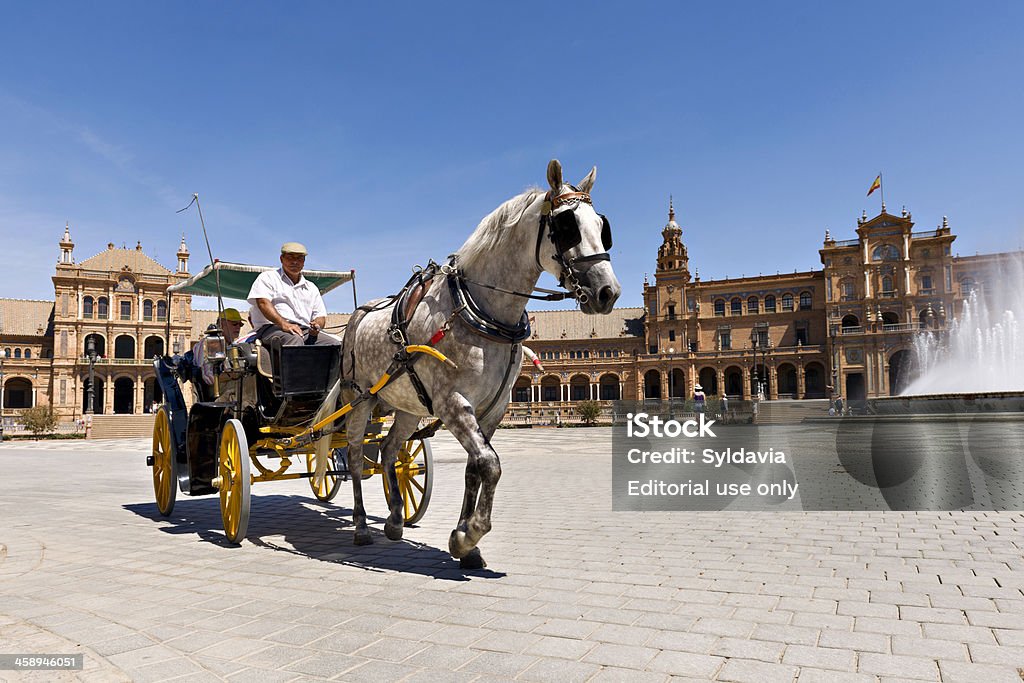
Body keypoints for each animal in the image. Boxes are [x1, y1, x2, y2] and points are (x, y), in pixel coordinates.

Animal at [337, 160, 622, 565]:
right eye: (567, 226)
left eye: (602, 226)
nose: (607, 292)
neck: (483, 310)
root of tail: (357, 315)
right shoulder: (453, 402)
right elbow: (490, 463)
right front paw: (470, 534)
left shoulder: (494, 407)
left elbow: (476, 467)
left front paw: (464, 542)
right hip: (359, 398)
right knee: (356, 455)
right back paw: (362, 526)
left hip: (406, 404)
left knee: (391, 448)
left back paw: (394, 518)